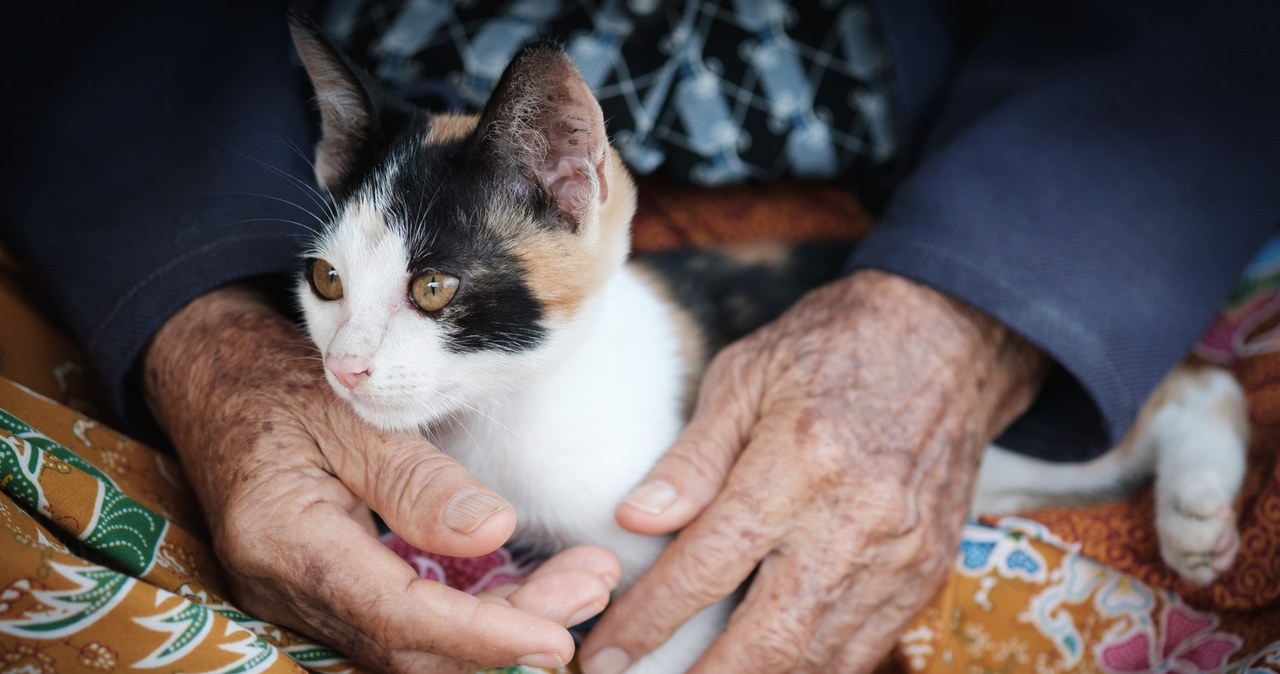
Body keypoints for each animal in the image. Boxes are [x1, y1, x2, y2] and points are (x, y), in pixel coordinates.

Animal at [288, 13, 1249, 670]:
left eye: (434, 288)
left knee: (1204, 380)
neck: (506, 414)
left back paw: (1199, 507)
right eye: (326, 281)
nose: (345, 366)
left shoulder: (692, 560)